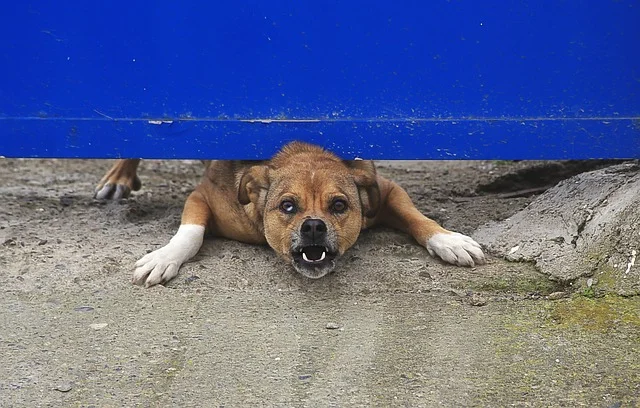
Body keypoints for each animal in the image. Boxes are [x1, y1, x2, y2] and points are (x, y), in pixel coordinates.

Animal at [126, 143, 484, 286]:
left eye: (339, 205)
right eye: (287, 206)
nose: (313, 226)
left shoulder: (386, 190)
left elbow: (417, 217)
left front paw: (449, 241)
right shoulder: (203, 196)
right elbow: (190, 232)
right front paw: (165, 257)